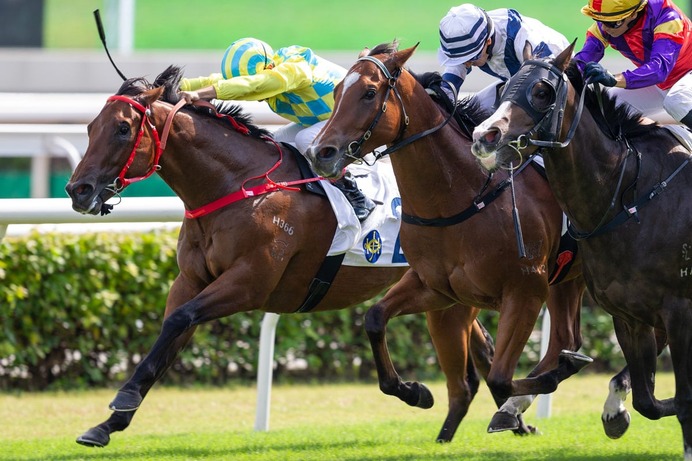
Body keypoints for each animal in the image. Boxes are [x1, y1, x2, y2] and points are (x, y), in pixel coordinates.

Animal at [64, 65, 503, 448]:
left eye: (123, 128)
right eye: (89, 127)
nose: (78, 190)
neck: (236, 184)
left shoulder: (249, 283)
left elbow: (179, 320)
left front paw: (120, 401)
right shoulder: (190, 282)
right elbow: (169, 336)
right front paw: (107, 424)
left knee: (471, 368)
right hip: (448, 293)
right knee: (481, 357)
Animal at [305, 41, 592, 439]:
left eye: (368, 93)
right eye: (334, 92)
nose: (320, 153)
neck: (459, 197)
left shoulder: (525, 289)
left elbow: (502, 376)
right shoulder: (438, 288)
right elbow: (375, 319)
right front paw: (414, 391)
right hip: (568, 279)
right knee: (566, 339)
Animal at [471, 41, 692, 459]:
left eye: (542, 91)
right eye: (505, 85)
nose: (485, 136)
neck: (628, 195)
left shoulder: (680, 311)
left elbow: (681, 400)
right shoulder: (628, 315)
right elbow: (647, 401)